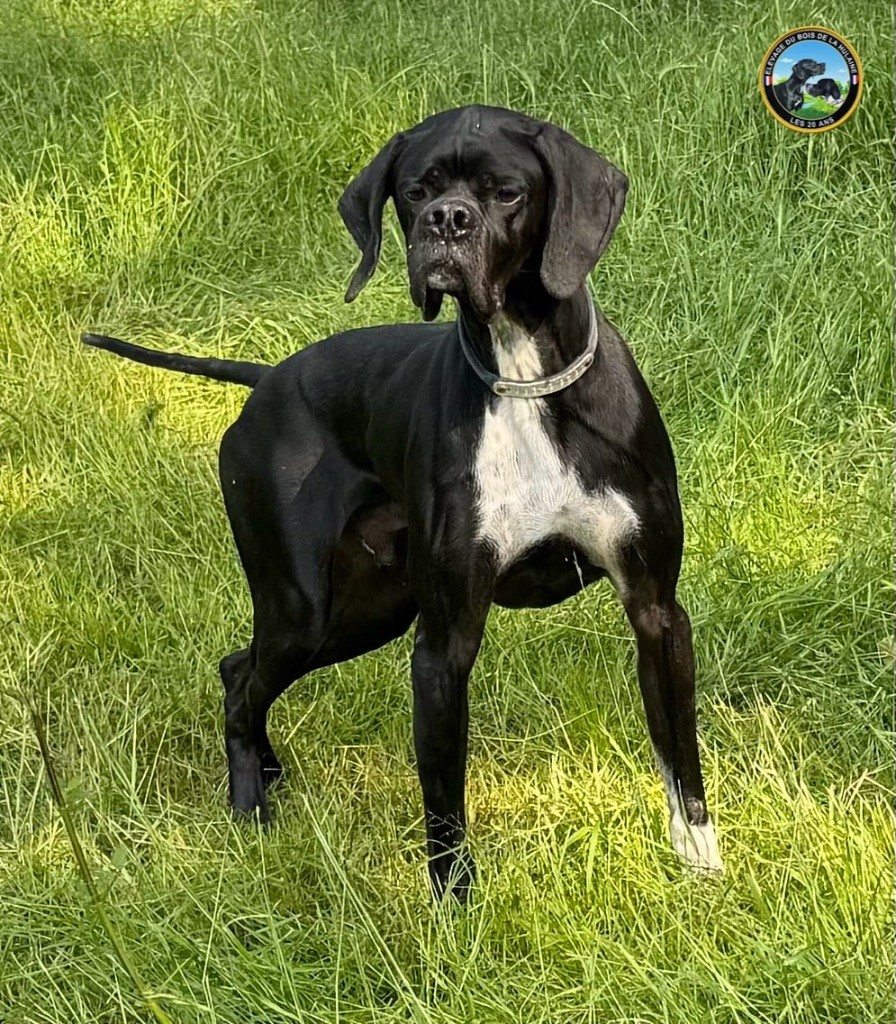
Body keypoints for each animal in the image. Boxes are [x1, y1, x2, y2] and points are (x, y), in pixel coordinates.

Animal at [83, 105, 723, 900]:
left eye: (506, 191)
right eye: (416, 191)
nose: (446, 221)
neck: (526, 381)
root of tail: (268, 381)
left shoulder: (656, 612)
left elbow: (681, 757)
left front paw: (703, 866)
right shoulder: (443, 645)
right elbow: (444, 797)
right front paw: (455, 906)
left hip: (365, 609)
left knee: (239, 668)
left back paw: (268, 768)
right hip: (307, 609)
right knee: (242, 681)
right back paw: (249, 801)